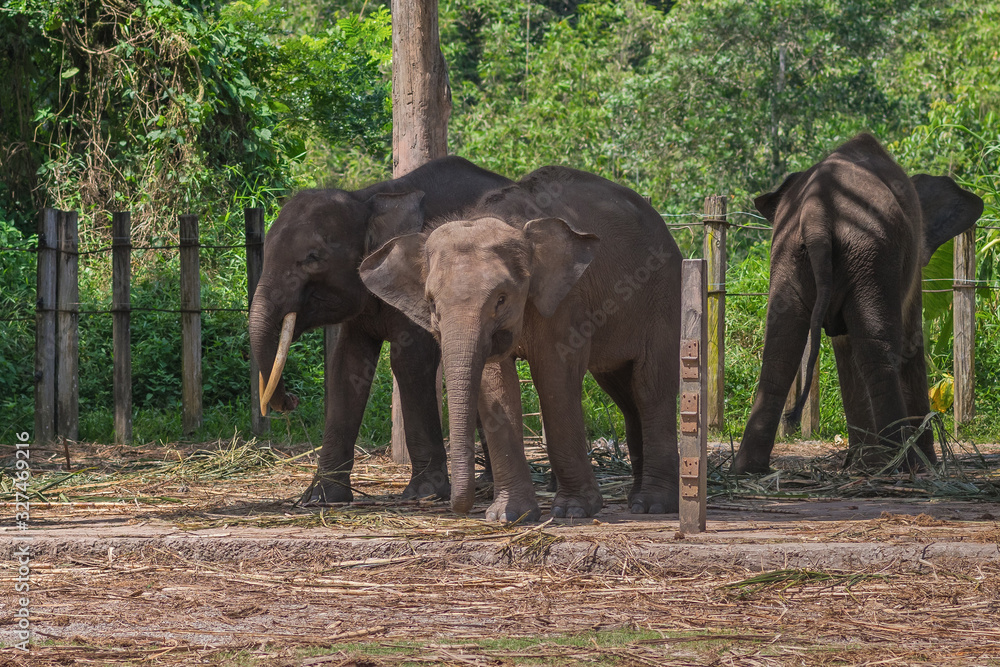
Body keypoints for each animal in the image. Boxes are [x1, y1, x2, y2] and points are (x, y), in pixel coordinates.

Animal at [249, 156, 512, 505]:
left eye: (313, 258)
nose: (292, 399)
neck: (370, 198)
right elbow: (347, 365)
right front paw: (320, 498)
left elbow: (411, 361)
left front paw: (423, 494)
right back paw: (488, 484)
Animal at [360, 166, 682, 522]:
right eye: (432, 305)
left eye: (501, 299)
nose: (460, 506)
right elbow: (496, 384)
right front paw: (509, 516)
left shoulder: (566, 298)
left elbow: (553, 375)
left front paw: (573, 510)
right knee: (624, 392)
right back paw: (636, 498)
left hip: (664, 295)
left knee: (650, 386)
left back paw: (653, 505)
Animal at [732, 133, 984, 475]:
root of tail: (816, 214)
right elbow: (909, 343)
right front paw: (922, 464)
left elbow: (844, 346)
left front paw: (865, 463)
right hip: (871, 255)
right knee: (879, 353)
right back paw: (897, 466)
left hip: (793, 254)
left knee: (780, 352)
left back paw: (748, 469)